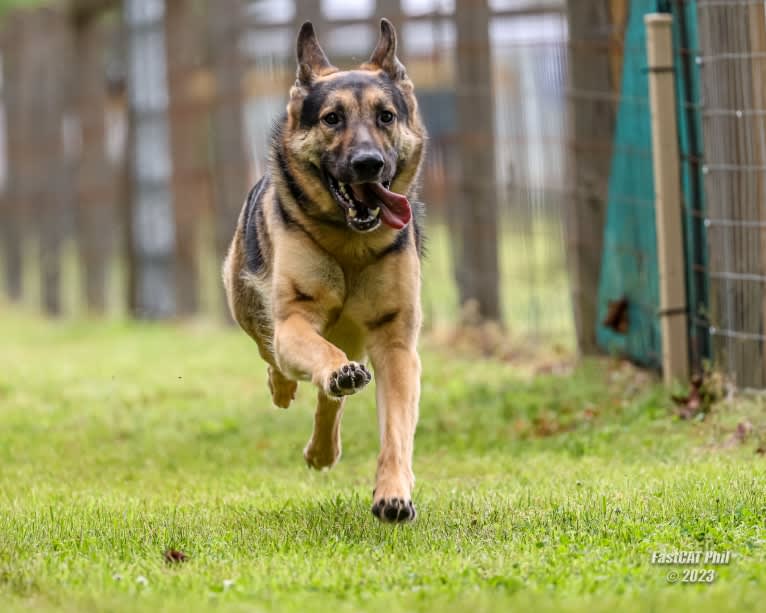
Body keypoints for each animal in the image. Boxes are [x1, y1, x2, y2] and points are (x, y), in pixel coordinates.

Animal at [224, 19, 426, 520]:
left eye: (386, 116)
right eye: (332, 118)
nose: (368, 163)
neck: (351, 244)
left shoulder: (395, 343)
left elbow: (396, 429)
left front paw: (394, 494)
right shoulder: (295, 319)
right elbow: (313, 352)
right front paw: (328, 373)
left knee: (329, 397)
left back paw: (322, 449)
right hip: (249, 305)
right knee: (274, 354)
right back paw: (287, 386)